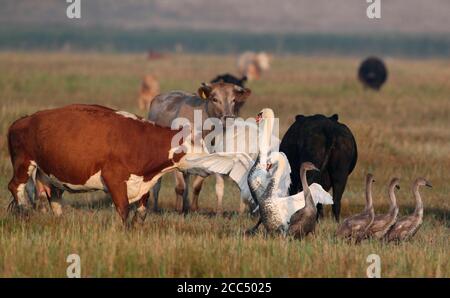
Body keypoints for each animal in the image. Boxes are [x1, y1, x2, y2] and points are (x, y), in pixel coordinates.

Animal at [7, 103, 251, 225]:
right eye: (192, 143)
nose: (211, 166)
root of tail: (23, 120)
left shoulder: (143, 183)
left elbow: (141, 212)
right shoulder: (114, 180)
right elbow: (123, 212)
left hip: (48, 173)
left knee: (53, 196)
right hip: (24, 163)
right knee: (15, 187)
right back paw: (25, 211)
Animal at [149, 81, 251, 212]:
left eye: (234, 100)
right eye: (214, 99)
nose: (229, 118)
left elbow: (196, 186)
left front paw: (193, 208)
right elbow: (180, 187)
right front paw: (178, 209)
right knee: (157, 185)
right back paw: (156, 207)